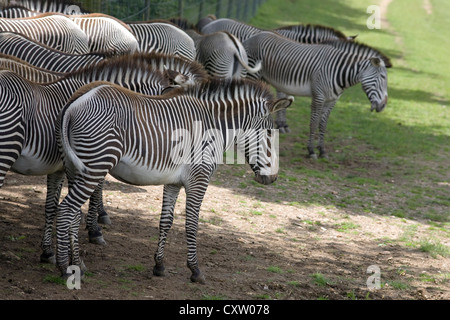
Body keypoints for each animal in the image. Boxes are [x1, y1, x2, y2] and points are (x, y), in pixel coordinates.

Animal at [0, 54, 186, 264]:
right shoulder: (91, 160)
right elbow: (95, 192)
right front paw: (94, 231)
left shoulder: (61, 168)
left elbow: (51, 207)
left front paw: (48, 251)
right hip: (6, 151)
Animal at [55, 77, 292, 282]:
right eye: (269, 132)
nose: (273, 178)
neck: (212, 125)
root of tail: (76, 100)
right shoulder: (199, 179)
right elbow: (192, 224)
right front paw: (195, 270)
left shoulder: (173, 182)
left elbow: (165, 221)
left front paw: (159, 265)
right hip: (94, 166)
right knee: (66, 210)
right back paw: (64, 267)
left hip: (74, 168)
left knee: (74, 214)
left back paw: (78, 264)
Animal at [244, 31, 388, 159]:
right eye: (383, 77)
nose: (383, 106)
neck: (338, 71)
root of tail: (253, 37)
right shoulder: (318, 97)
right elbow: (313, 123)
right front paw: (311, 151)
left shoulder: (331, 101)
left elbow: (323, 125)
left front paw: (322, 150)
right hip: (252, 74)